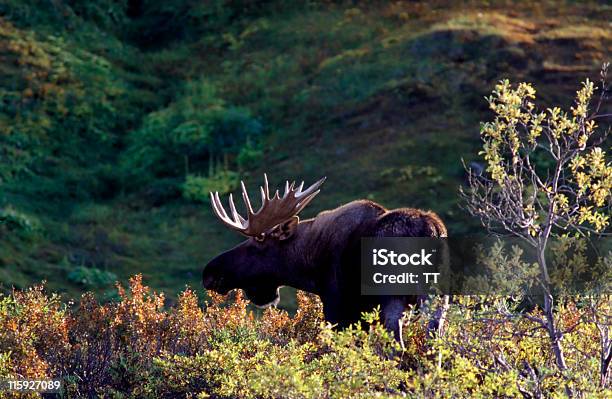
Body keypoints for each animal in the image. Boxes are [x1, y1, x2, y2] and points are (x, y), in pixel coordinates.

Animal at [203, 175, 448, 346]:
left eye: (259, 240)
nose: (209, 273)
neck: (312, 263)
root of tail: (431, 230)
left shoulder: (337, 307)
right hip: (437, 299)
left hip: (393, 297)